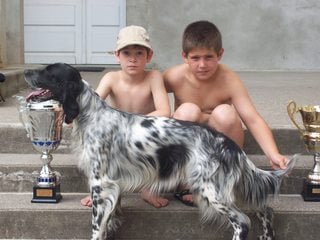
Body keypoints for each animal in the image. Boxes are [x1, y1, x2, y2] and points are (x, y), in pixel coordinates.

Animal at [23, 63, 296, 240]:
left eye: (48, 71)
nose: (25, 71)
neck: (91, 114)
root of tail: (231, 146)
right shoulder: (113, 185)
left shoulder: (101, 183)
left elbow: (97, 226)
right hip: (231, 188)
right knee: (264, 207)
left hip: (211, 189)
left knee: (243, 221)